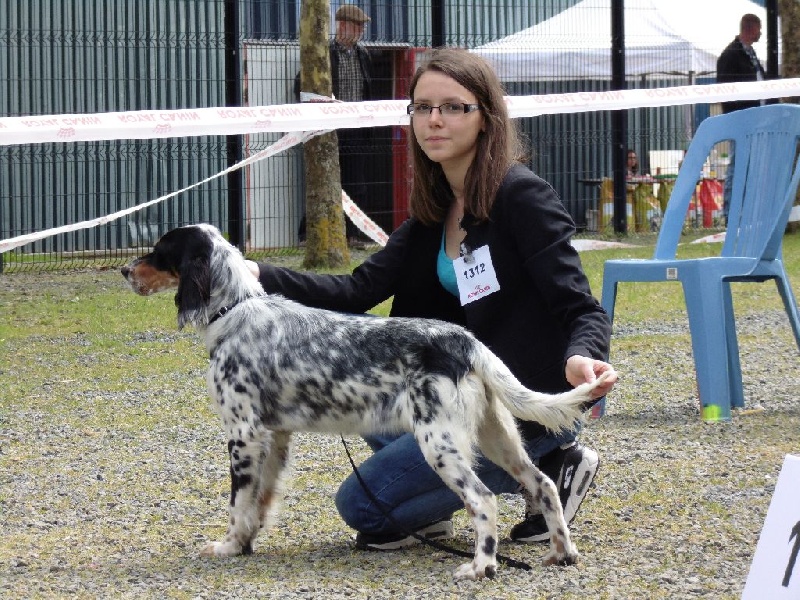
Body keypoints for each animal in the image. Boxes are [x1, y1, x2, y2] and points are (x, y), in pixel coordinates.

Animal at [122, 223, 612, 580]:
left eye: (159, 250)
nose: (125, 270)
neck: (235, 311)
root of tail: (465, 341)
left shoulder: (242, 434)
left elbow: (238, 503)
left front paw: (226, 546)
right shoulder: (274, 437)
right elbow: (260, 502)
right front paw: (245, 544)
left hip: (440, 444)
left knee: (484, 499)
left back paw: (481, 566)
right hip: (498, 437)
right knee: (543, 484)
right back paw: (561, 553)